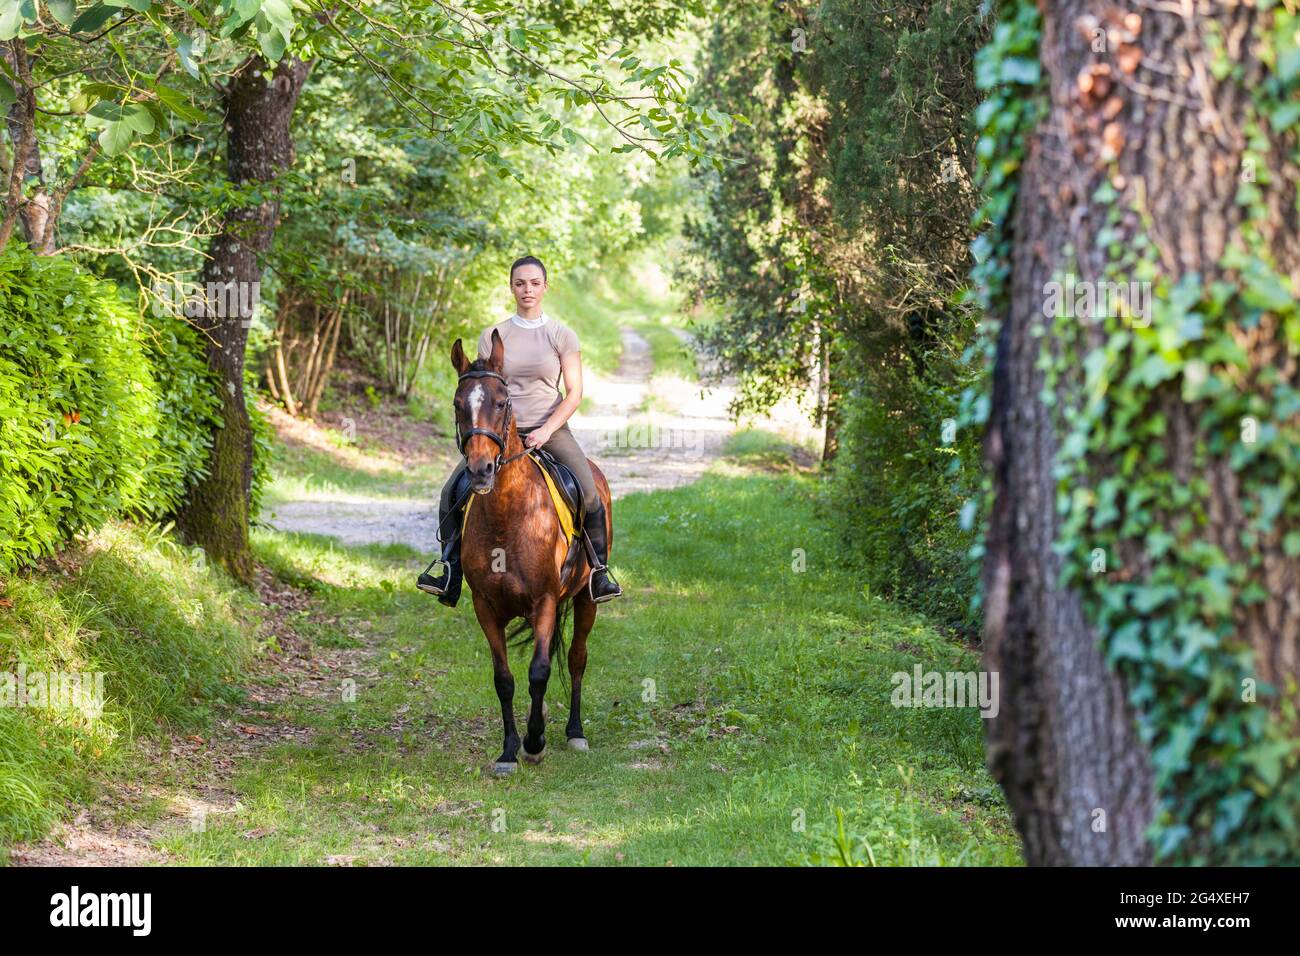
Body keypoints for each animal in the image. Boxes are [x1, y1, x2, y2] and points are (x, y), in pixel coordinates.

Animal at [449, 330, 612, 774]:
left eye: (502, 401)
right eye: (458, 404)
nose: (480, 470)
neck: (508, 514)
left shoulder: (545, 601)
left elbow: (539, 671)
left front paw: (535, 742)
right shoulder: (485, 605)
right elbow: (503, 679)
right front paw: (509, 750)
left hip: (585, 598)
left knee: (576, 658)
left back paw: (574, 733)